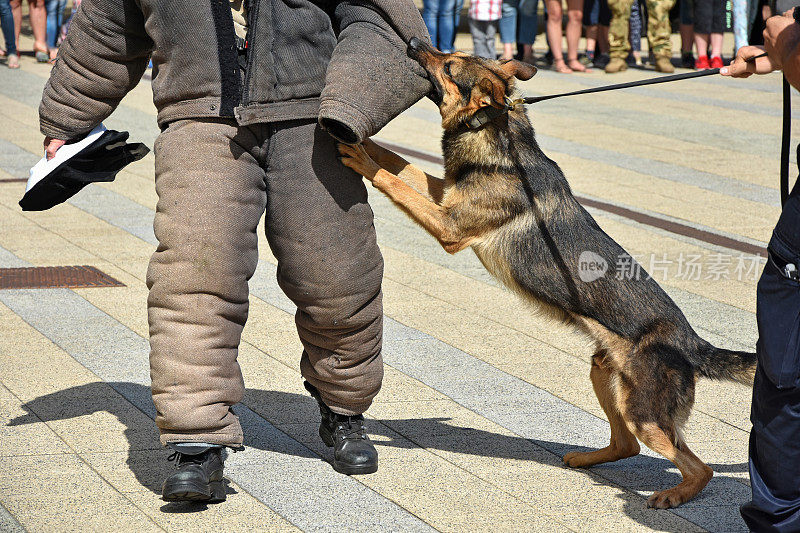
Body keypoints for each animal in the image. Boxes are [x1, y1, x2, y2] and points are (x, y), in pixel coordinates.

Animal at [336, 38, 756, 508]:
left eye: (448, 65)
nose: (414, 43)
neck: (495, 130)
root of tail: (692, 343)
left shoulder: (449, 226)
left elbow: (393, 179)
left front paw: (359, 156)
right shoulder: (446, 196)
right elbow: (399, 164)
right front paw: (365, 140)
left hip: (644, 413)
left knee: (699, 467)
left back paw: (674, 495)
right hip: (604, 373)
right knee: (626, 445)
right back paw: (588, 459)